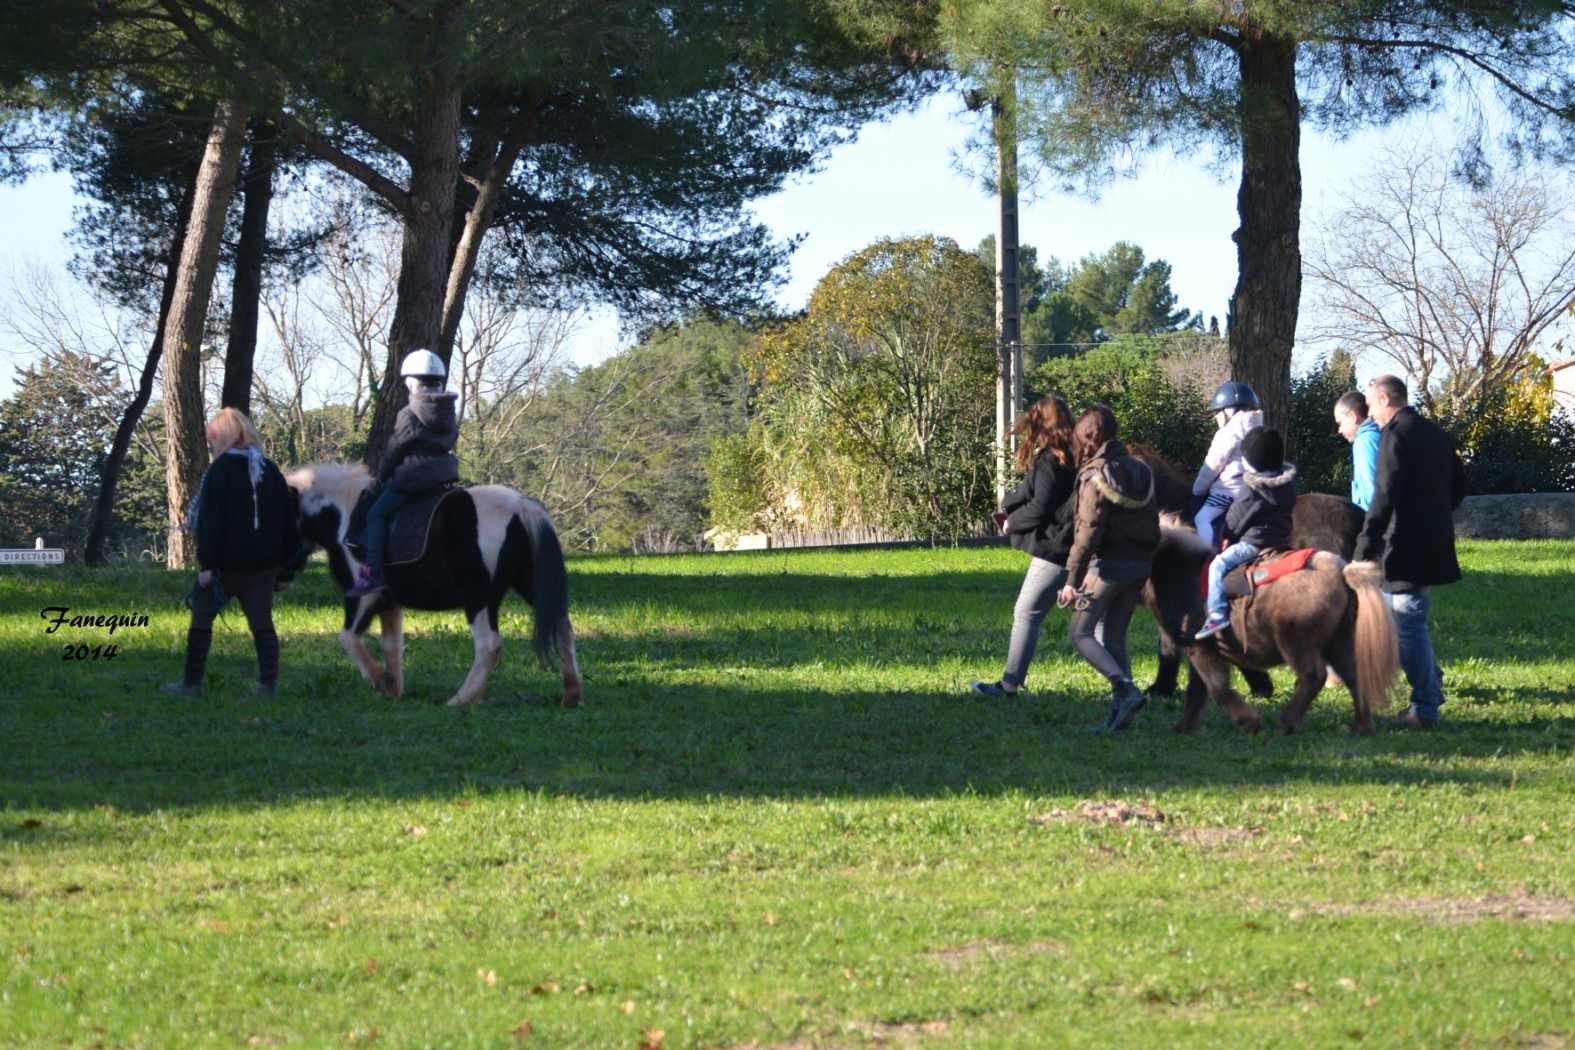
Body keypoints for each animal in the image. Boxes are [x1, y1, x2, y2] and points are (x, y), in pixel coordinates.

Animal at [286, 465, 582, 705]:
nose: (282, 578)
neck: (343, 516)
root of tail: (521, 506)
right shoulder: (389, 604)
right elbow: (391, 645)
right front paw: (393, 688)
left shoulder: (362, 598)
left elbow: (348, 638)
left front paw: (380, 680)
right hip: (530, 586)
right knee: (562, 629)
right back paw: (571, 694)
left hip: (479, 597)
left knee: (489, 645)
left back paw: (461, 700)